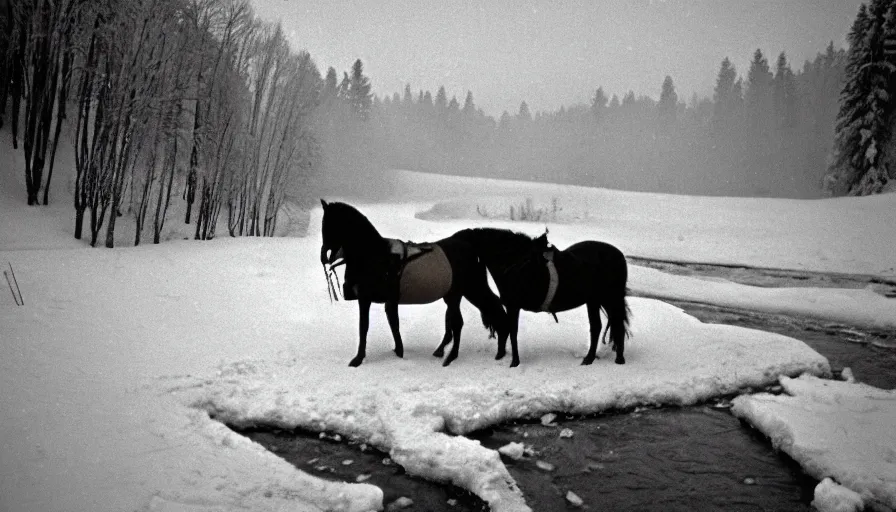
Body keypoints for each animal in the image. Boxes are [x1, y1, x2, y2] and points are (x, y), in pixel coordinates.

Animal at [318, 201, 508, 368]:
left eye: (332, 224)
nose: (324, 256)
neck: (375, 255)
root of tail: (469, 245)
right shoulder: (387, 301)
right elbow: (392, 324)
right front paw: (398, 352)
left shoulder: (366, 299)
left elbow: (365, 327)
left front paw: (358, 359)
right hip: (462, 292)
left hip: (463, 291)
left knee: (459, 322)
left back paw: (451, 357)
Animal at [434, 228, 632, 368]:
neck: (516, 262)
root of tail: (619, 255)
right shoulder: (511, 306)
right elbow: (509, 330)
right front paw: (504, 358)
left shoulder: (513, 306)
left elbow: (512, 332)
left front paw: (514, 362)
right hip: (594, 300)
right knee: (597, 327)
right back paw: (589, 359)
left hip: (611, 298)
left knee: (617, 325)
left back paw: (618, 359)